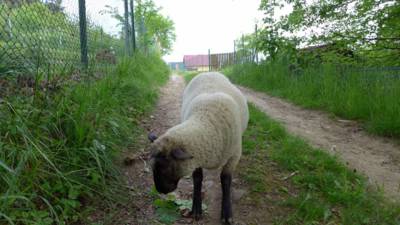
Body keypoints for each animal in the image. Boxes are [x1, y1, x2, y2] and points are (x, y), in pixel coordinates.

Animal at [148, 71, 248, 223]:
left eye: (166, 168)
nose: (160, 190)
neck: (206, 120)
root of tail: (209, 72)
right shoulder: (197, 157)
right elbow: (197, 178)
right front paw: (196, 209)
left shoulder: (234, 156)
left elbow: (225, 180)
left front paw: (227, 213)